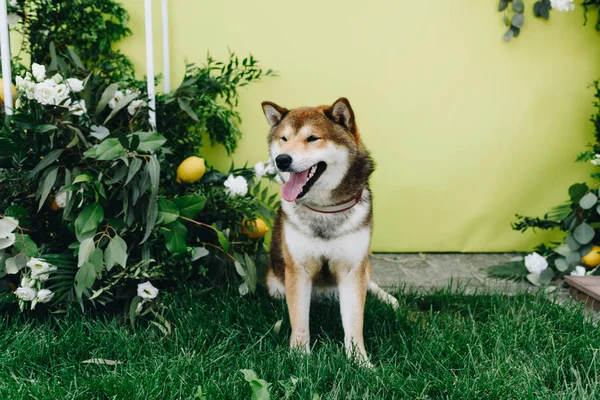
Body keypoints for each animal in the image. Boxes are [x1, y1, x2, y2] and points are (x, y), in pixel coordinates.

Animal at [262, 97, 398, 366]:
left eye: (313, 138)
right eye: (283, 138)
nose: (282, 159)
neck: (323, 209)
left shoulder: (352, 269)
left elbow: (354, 323)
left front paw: (360, 362)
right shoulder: (298, 269)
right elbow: (299, 320)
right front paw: (299, 356)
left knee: (370, 281)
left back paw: (389, 299)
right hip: (275, 285)